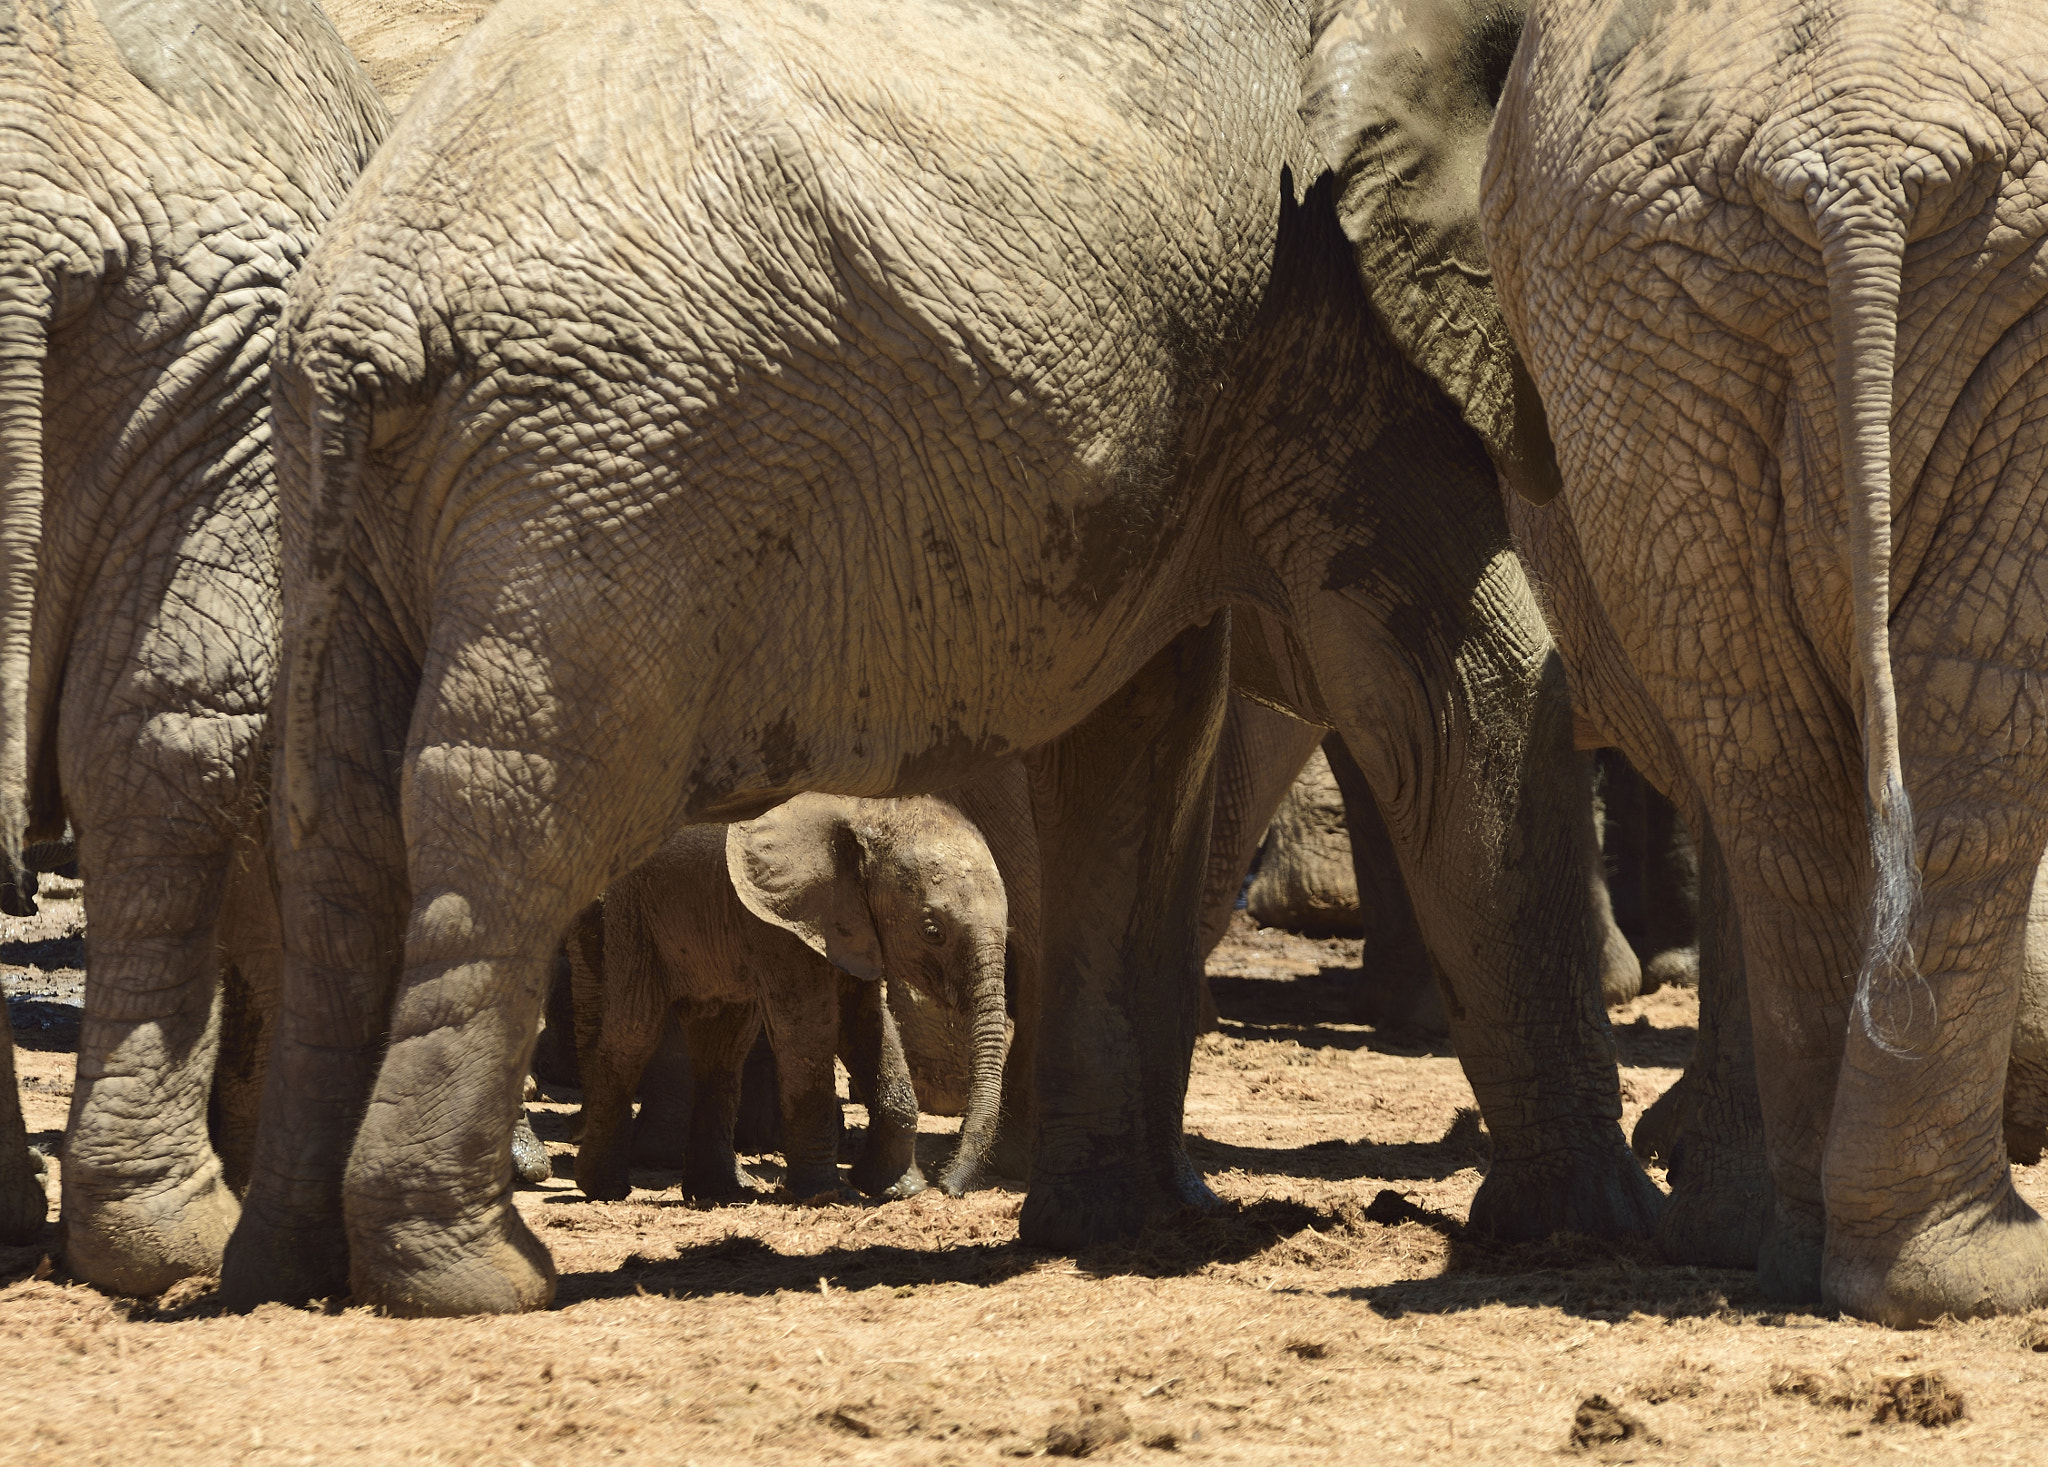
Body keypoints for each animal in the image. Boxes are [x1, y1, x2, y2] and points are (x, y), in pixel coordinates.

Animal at [571, 791, 1013, 1204]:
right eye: (932, 931)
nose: (948, 1188)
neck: (868, 813)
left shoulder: (852, 924)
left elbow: (866, 1025)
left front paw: (896, 1190)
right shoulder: (781, 919)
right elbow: (810, 1028)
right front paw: (828, 1195)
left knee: (723, 1046)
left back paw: (721, 1191)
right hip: (634, 915)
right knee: (635, 1033)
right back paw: (605, 1189)